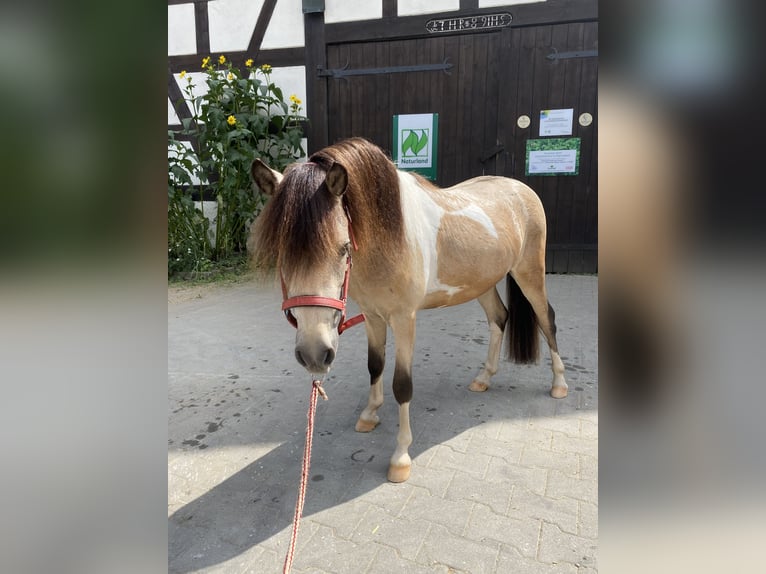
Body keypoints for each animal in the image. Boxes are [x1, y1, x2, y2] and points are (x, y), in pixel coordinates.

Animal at [249, 137, 568, 484]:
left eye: (343, 248)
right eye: (281, 253)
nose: (314, 354)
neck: (388, 239)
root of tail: (521, 189)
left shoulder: (404, 319)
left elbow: (402, 385)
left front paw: (400, 457)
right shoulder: (373, 315)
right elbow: (375, 366)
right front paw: (369, 415)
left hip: (530, 274)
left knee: (547, 320)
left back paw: (559, 384)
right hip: (482, 283)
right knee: (499, 318)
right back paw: (484, 378)